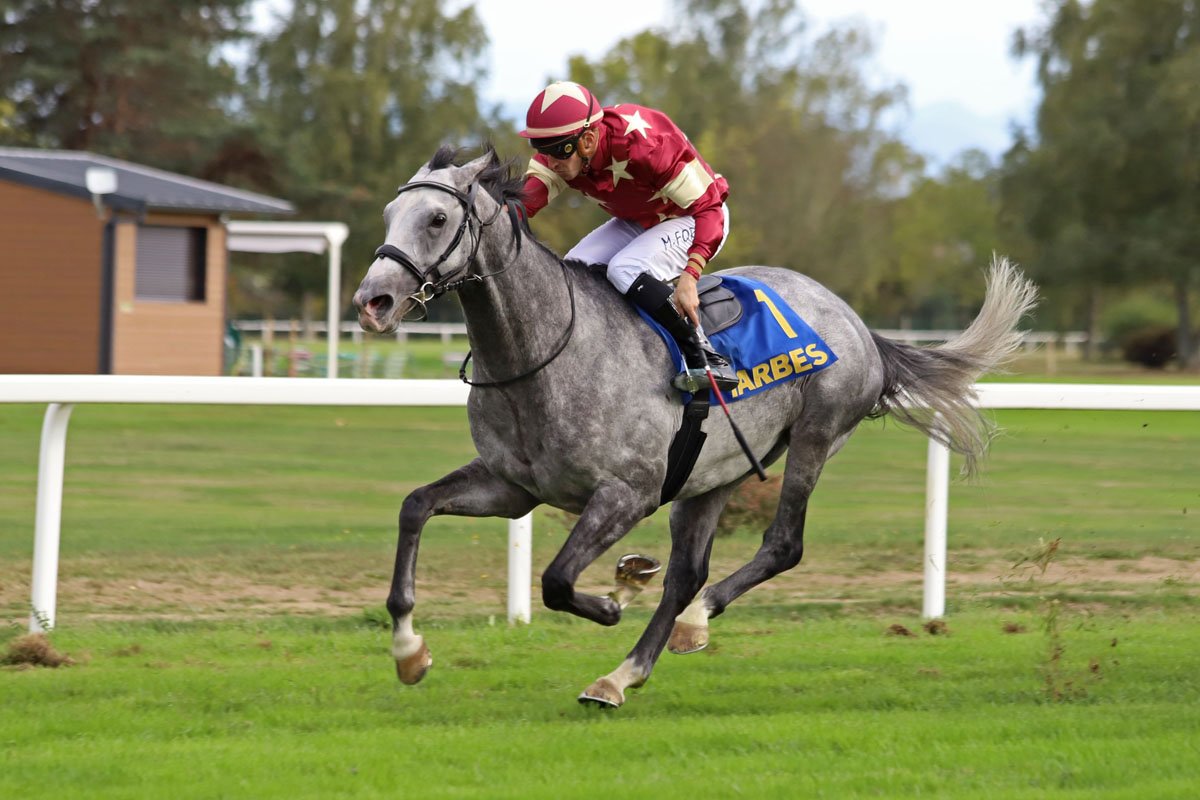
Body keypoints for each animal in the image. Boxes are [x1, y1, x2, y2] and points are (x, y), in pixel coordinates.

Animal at [351, 146, 1038, 709]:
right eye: (389, 214)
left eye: (437, 220)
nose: (372, 302)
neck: (543, 353)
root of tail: (858, 324)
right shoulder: (512, 487)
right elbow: (415, 507)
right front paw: (408, 651)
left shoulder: (626, 493)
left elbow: (557, 580)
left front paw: (614, 596)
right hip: (714, 472)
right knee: (688, 572)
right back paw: (625, 673)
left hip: (814, 438)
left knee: (779, 545)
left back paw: (684, 627)